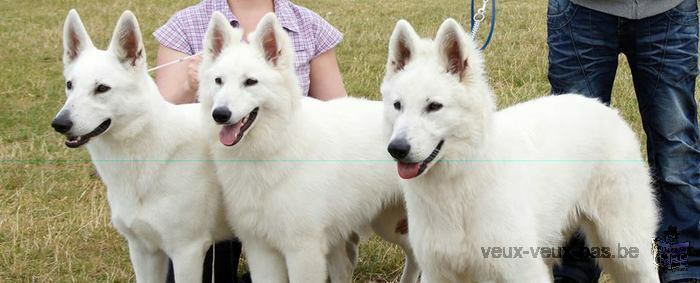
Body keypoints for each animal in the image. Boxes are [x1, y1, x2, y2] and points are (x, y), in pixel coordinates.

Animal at [194, 11, 418, 283]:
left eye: (250, 82)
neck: (276, 143)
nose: (220, 114)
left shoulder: (303, 251)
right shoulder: (261, 250)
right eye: (218, 81)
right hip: (389, 222)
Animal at [380, 18, 660, 282]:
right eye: (397, 105)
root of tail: (606, 108)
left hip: (625, 246)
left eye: (434, 106)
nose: (397, 149)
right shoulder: (438, 273)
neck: (457, 187)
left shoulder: (522, 271)